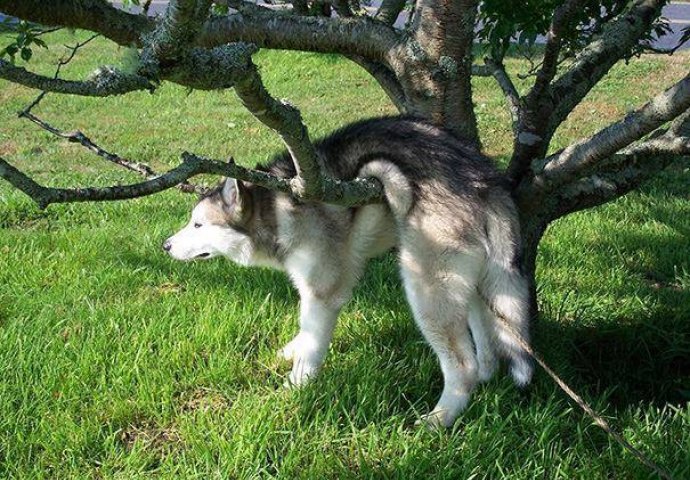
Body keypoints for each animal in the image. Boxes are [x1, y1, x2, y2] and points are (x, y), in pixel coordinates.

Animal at [163, 116, 532, 428]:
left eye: (198, 225)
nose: (165, 245)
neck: (276, 208)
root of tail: (484, 178)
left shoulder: (323, 291)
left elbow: (313, 343)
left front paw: (295, 387)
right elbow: (304, 331)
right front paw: (292, 351)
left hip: (425, 288)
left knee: (462, 364)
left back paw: (440, 418)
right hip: (472, 281)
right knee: (484, 335)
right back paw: (485, 376)